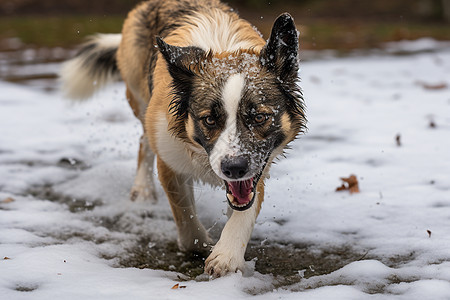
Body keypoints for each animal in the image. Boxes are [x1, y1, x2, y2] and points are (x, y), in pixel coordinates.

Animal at [60, 0, 306, 276]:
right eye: (209, 120)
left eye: (260, 117)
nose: (233, 168)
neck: (224, 51)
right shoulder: (169, 159)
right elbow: (185, 219)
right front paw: (202, 245)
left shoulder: (258, 167)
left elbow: (245, 209)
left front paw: (227, 254)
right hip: (140, 101)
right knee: (144, 142)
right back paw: (142, 189)